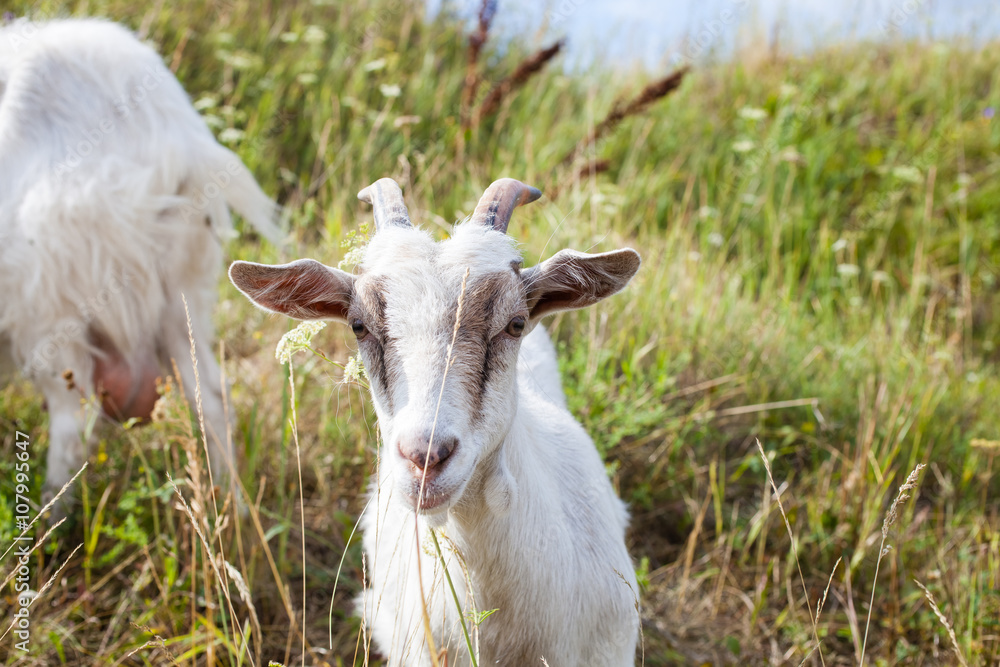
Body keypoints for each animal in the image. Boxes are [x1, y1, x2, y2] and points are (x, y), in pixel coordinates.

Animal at [0, 18, 280, 505]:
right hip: (178, 289)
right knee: (212, 395)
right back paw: (232, 506)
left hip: (48, 305)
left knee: (74, 425)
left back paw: (48, 517)